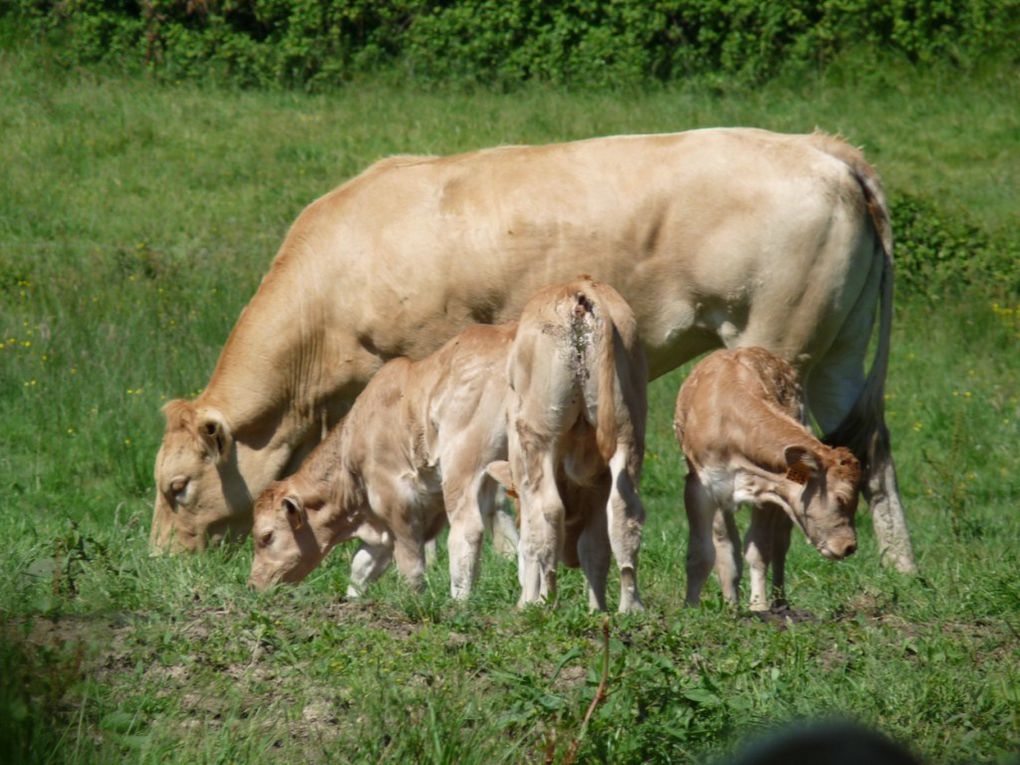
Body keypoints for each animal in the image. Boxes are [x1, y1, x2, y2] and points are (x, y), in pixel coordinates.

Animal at [247, 324, 518, 599]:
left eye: (266, 536)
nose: (252, 585)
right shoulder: (381, 524)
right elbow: (361, 566)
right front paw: (352, 600)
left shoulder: (397, 502)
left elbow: (410, 565)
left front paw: (415, 600)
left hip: (464, 463)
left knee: (467, 530)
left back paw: (459, 600)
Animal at [485, 279, 644, 616]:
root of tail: (579, 288)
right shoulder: (597, 485)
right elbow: (594, 546)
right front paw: (597, 608)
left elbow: (530, 542)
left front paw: (528, 600)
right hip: (628, 427)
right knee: (625, 511)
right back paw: (631, 606)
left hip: (539, 433)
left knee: (548, 511)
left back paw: (546, 601)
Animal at [677, 346, 860, 612]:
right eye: (841, 497)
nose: (849, 546)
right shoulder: (700, 488)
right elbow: (703, 553)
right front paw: (691, 607)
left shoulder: (770, 492)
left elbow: (759, 550)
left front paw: (759, 607)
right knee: (725, 543)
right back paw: (731, 604)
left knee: (780, 545)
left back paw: (779, 602)